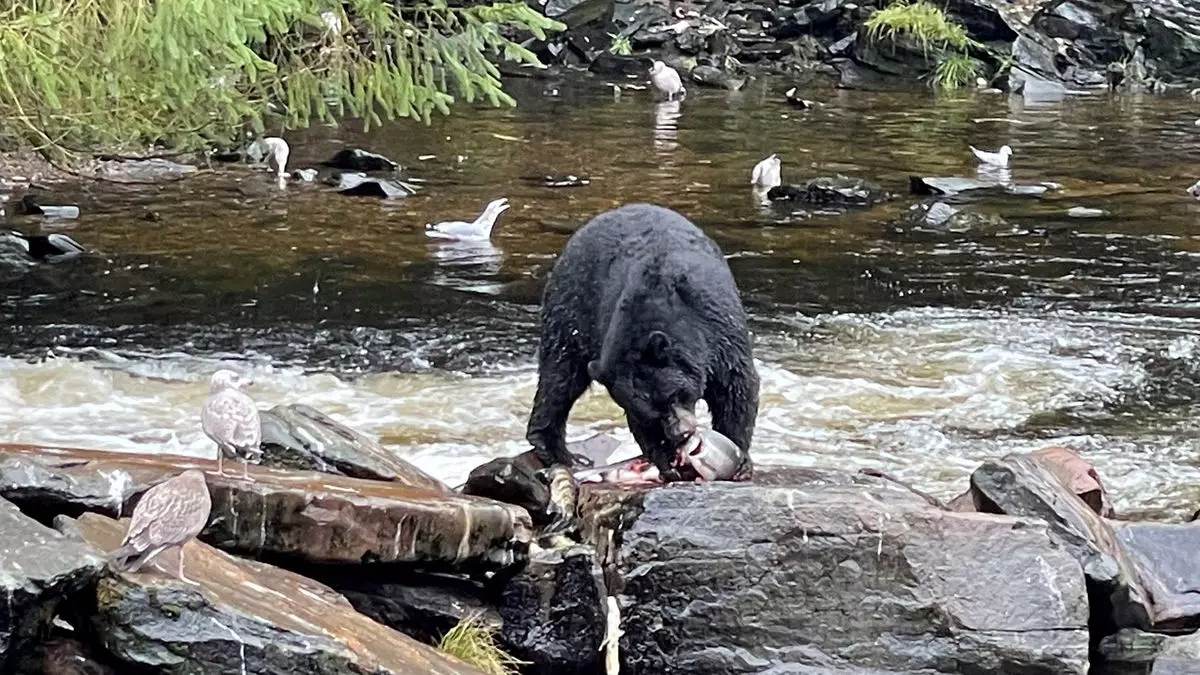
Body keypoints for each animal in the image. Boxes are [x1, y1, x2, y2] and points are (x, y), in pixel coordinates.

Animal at [525, 201, 758, 475]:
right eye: (653, 416)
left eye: (675, 394)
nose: (681, 434)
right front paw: (667, 459)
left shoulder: (720, 327)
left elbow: (736, 386)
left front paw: (737, 452)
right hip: (572, 310)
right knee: (559, 378)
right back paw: (556, 451)